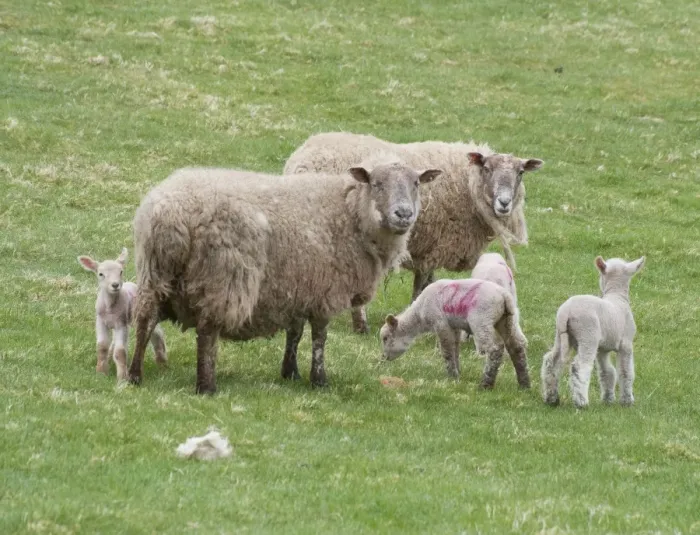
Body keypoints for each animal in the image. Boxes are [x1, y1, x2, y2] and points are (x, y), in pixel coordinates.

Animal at [77, 248, 167, 382]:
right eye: (100, 274)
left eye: (120, 272)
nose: (115, 285)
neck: (110, 307)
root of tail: (133, 284)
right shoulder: (101, 322)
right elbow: (102, 347)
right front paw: (101, 373)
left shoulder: (121, 324)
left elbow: (120, 352)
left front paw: (122, 379)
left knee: (157, 334)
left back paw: (162, 364)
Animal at [127, 161, 441, 394]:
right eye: (377, 183)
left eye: (416, 184)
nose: (404, 214)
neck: (351, 213)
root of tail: (170, 213)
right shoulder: (325, 290)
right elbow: (319, 338)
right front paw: (319, 380)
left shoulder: (297, 286)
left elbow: (295, 333)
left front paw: (290, 372)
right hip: (222, 276)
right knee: (207, 332)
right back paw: (206, 386)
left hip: (154, 273)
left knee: (145, 320)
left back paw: (134, 375)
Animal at [284, 132, 544, 334]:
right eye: (487, 169)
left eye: (520, 173)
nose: (504, 203)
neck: (466, 184)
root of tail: (301, 161)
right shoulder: (435, 246)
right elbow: (422, 284)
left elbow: (429, 282)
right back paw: (360, 325)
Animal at [379, 278, 530, 389]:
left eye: (385, 338)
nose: (383, 358)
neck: (419, 314)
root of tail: (504, 296)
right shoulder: (455, 326)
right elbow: (455, 350)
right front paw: (458, 372)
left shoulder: (441, 323)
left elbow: (446, 351)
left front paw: (452, 375)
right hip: (507, 320)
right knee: (517, 346)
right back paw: (524, 384)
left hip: (481, 320)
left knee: (495, 349)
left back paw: (486, 384)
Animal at [540, 255, 645, 409]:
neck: (617, 297)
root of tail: (566, 311)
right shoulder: (626, 344)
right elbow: (625, 372)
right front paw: (627, 401)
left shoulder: (602, 349)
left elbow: (607, 372)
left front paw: (608, 399)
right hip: (588, 335)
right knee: (580, 367)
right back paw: (581, 402)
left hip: (561, 336)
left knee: (551, 361)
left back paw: (552, 398)